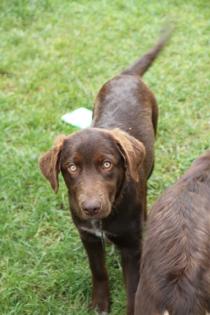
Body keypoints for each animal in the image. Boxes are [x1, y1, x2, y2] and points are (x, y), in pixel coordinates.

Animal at [40, 31, 171, 315]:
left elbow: (133, 288)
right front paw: (100, 304)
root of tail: (126, 75)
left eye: (107, 164)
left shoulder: (132, 248)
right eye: (72, 167)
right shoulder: (88, 236)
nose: (91, 208)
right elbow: (98, 271)